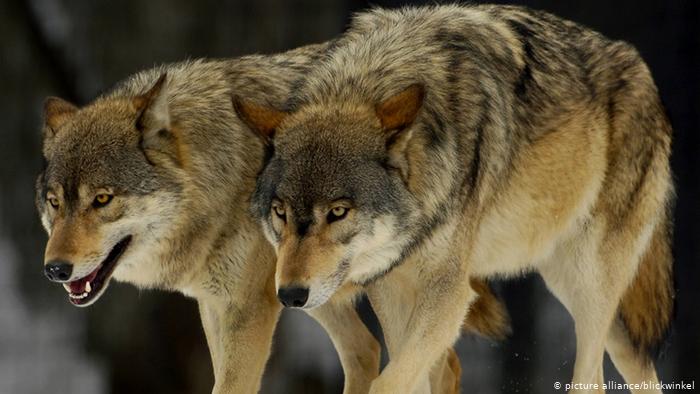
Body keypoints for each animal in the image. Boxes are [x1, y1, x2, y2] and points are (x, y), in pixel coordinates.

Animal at [37, 42, 508, 390]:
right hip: (309, 292)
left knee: (427, 363)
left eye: (102, 199)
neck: (221, 175)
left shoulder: (248, 309)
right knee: (369, 351)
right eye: (55, 202)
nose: (55, 270)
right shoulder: (218, 304)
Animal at [238, 3, 676, 394]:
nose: (290, 295)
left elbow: (388, 382)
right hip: (573, 287)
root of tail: (641, 66)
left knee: (593, 379)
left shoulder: (449, 293)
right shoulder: (392, 289)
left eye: (338, 212)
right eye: (280, 212)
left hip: (590, 282)